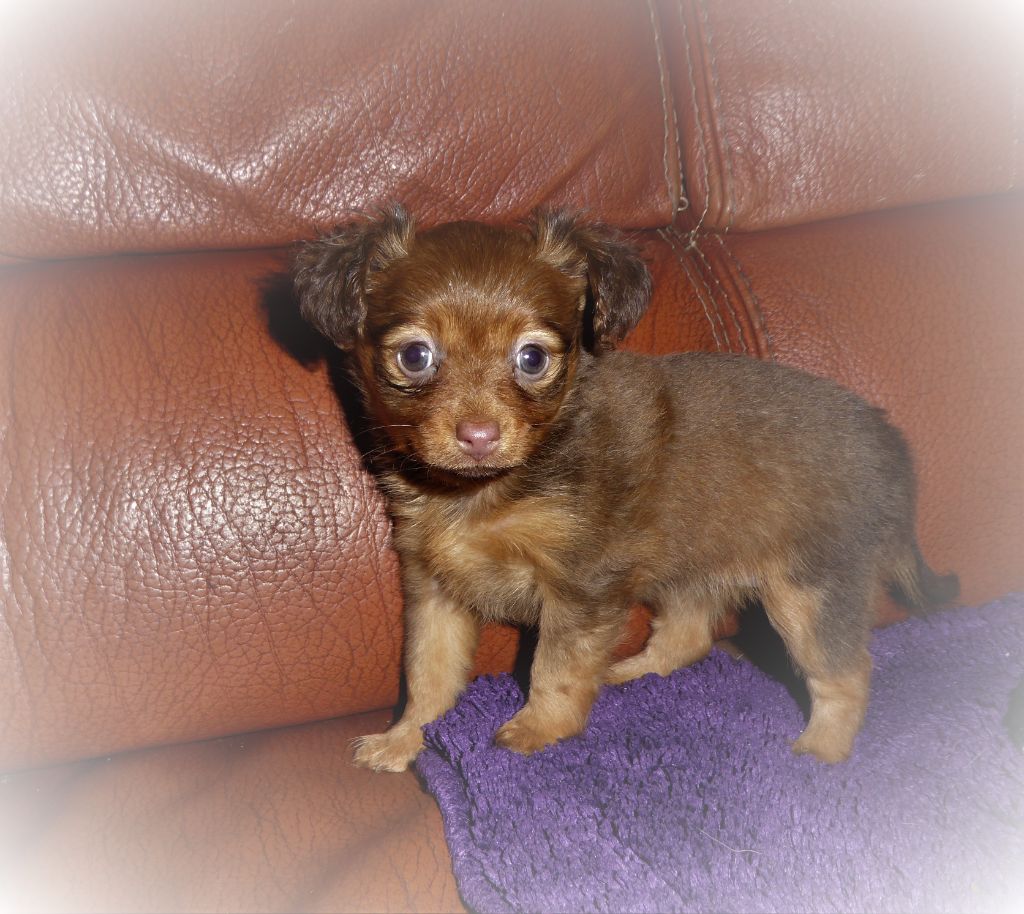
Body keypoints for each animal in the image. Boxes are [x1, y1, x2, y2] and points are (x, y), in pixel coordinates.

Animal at [293, 205, 958, 772]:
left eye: (532, 359)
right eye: (415, 356)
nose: (478, 435)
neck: (483, 493)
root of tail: (891, 446)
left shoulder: (581, 586)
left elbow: (555, 667)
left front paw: (538, 730)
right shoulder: (435, 588)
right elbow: (428, 675)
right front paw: (406, 739)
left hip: (810, 591)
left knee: (845, 673)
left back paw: (819, 754)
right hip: (692, 564)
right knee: (689, 637)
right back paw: (630, 670)